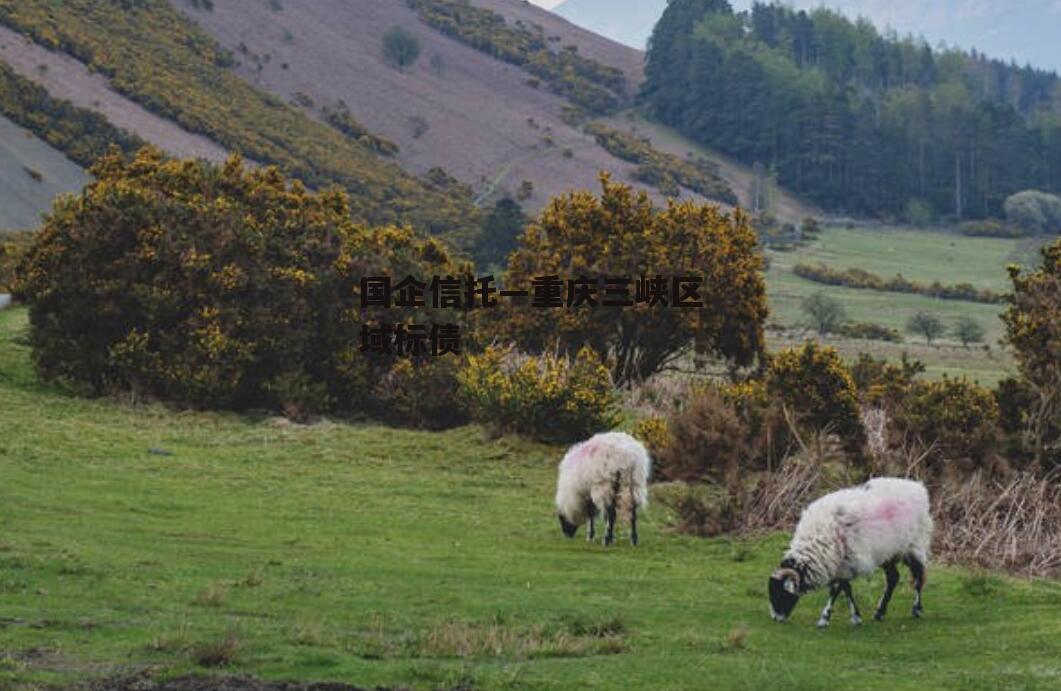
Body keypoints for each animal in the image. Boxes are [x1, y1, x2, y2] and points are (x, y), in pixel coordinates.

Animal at [768, 477, 933, 628]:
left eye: (780, 595)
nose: (776, 618)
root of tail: (918, 488)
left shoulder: (847, 563)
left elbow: (836, 590)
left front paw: (825, 618)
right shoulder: (840, 564)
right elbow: (846, 589)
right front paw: (855, 617)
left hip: (914, 546)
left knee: (919, 577)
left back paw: (916, 610)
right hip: (887, 552)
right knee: (893, 578)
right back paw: (879, 612)